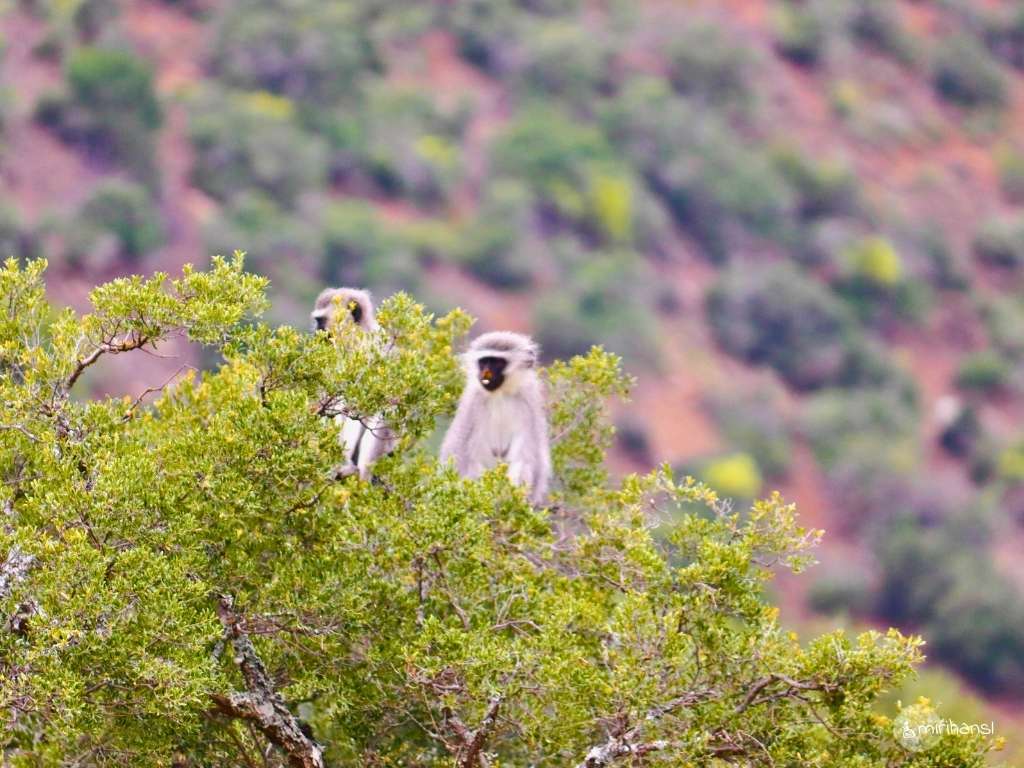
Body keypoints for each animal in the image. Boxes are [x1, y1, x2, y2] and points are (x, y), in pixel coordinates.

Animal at [440, 331, 552, 504]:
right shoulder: (473, 405)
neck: (500, 394)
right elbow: (465, 456)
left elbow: (524, 458)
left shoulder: (527, 405)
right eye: (484, 361)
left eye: (497, 362)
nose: (485, 372)